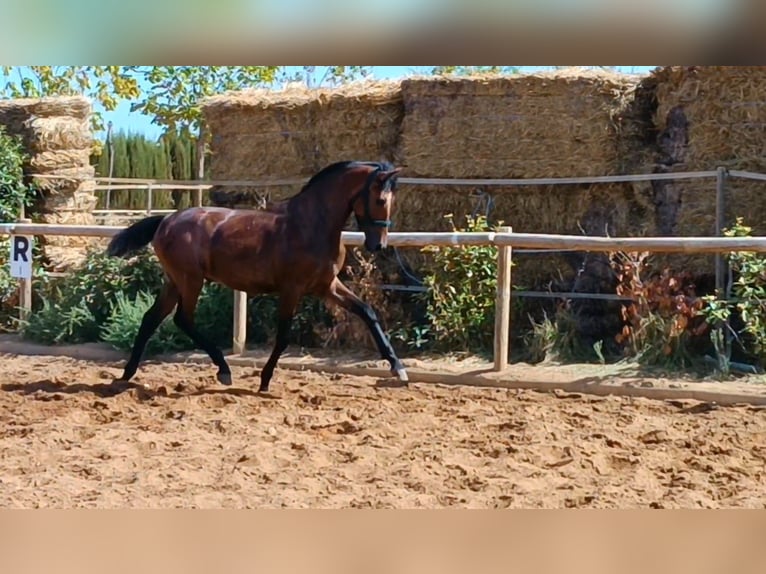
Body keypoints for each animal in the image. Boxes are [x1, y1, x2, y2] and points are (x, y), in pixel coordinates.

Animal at [106, 162, 414, 396]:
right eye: (380, 200)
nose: (378, 245)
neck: (312, 225)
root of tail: (166, 220)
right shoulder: (292, 289)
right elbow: (283, 337)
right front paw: (264, 381)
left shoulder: (326, 286)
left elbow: (367, 312)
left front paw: (398, 369)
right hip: (190, 280)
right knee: (183, 319)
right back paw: (223, 370)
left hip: (174, 281)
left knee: (151, 318)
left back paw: (126, 374)